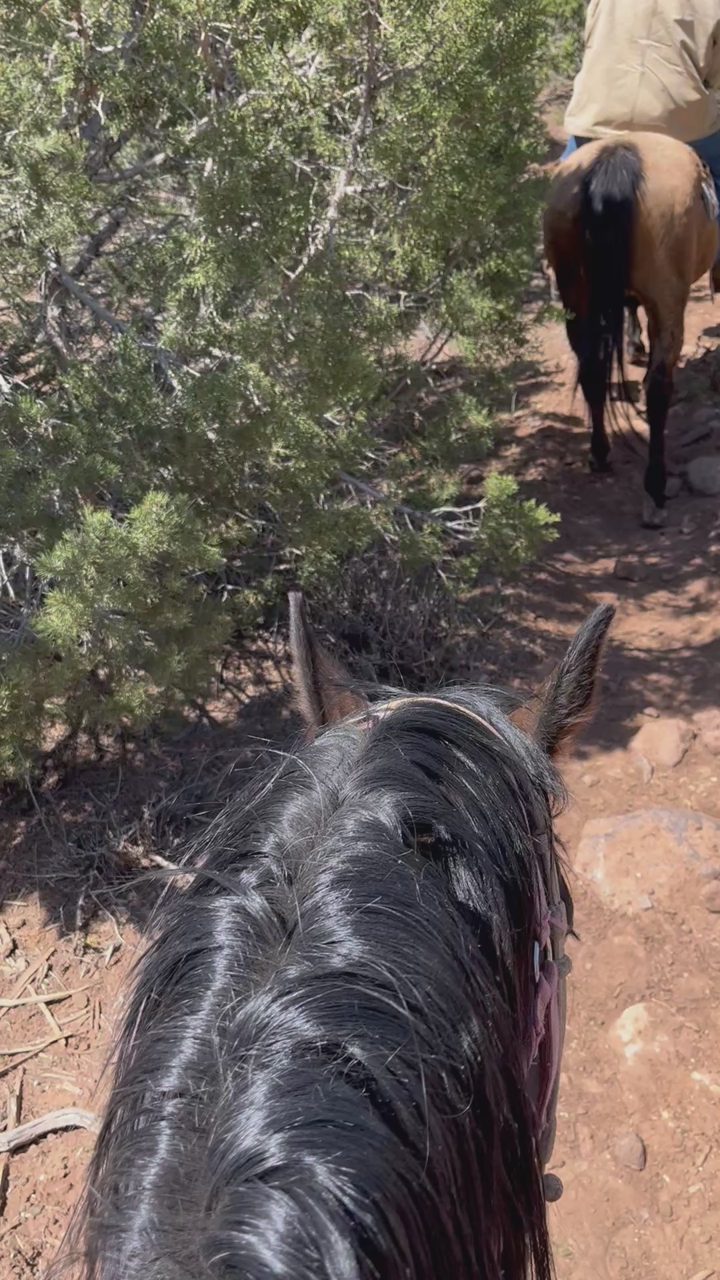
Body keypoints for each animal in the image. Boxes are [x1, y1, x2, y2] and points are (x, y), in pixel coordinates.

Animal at [544, 132, 719, 528]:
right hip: (668, 301)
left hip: (575, 295)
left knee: (592, 372)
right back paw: (654, 491)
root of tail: (617, 158)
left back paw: (600, 453)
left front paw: (633, 342)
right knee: (657, 392)